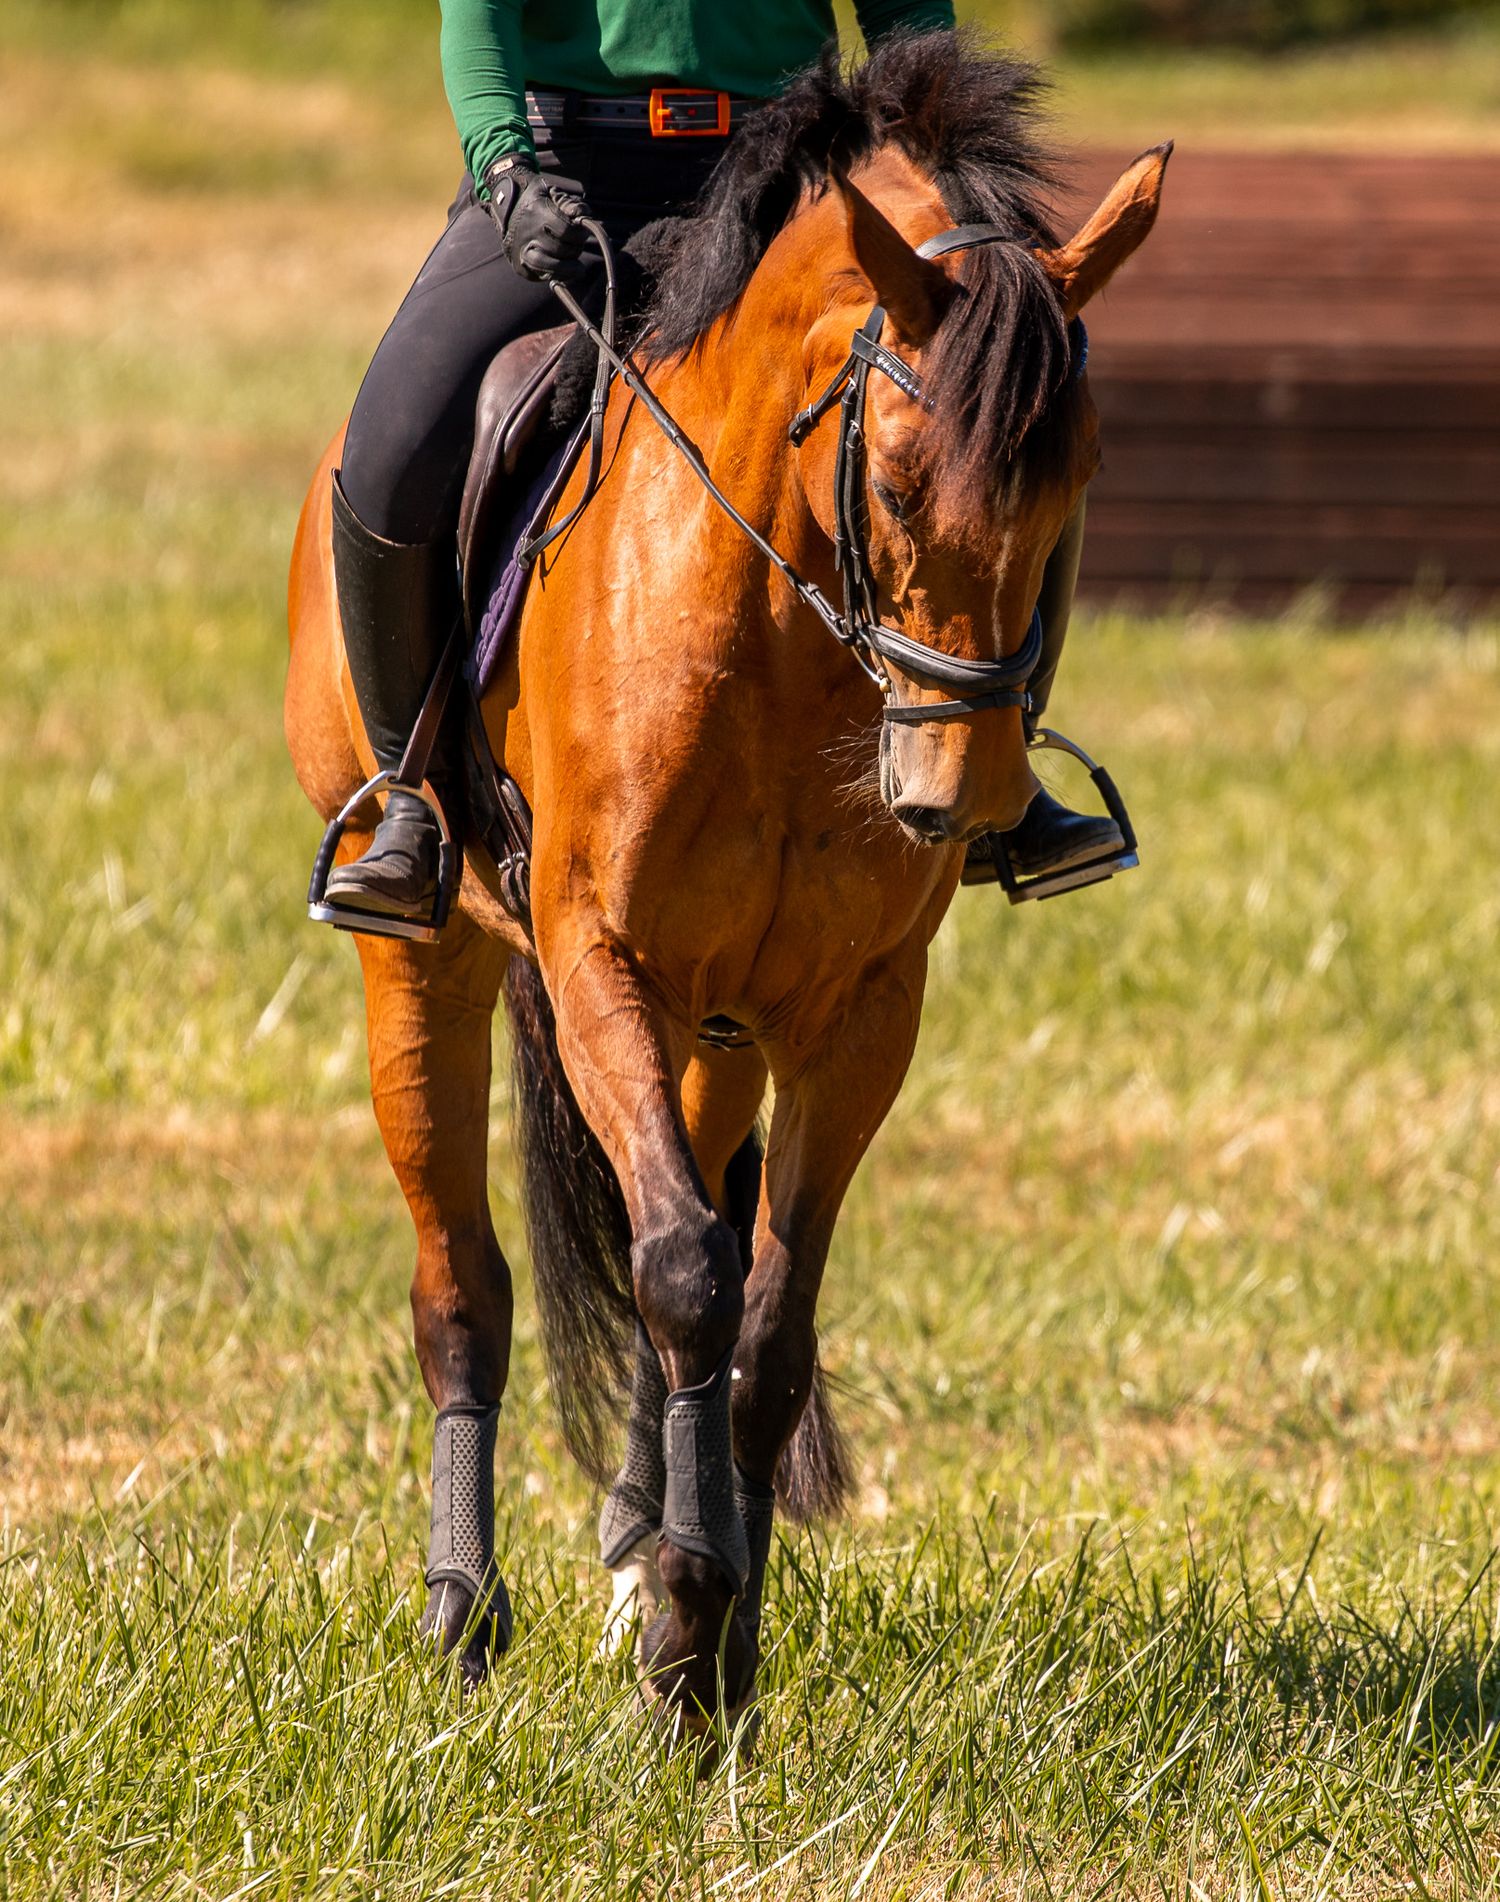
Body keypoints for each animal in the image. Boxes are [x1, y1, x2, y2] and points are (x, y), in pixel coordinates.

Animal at [285, 33, 1169, 1732]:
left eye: (1084, 483)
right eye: (899, 481)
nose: (956, 797)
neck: (779, 631)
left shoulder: (853, 1013)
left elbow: (759, 1316)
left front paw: (711, 1630)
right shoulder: (599, 962)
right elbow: (687, 1268)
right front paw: (692, 1639)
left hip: (714, 1036)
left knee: (664, 1237)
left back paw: (640, 1549)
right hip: (428, 964)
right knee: (465, 1285)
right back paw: (463, 1616)